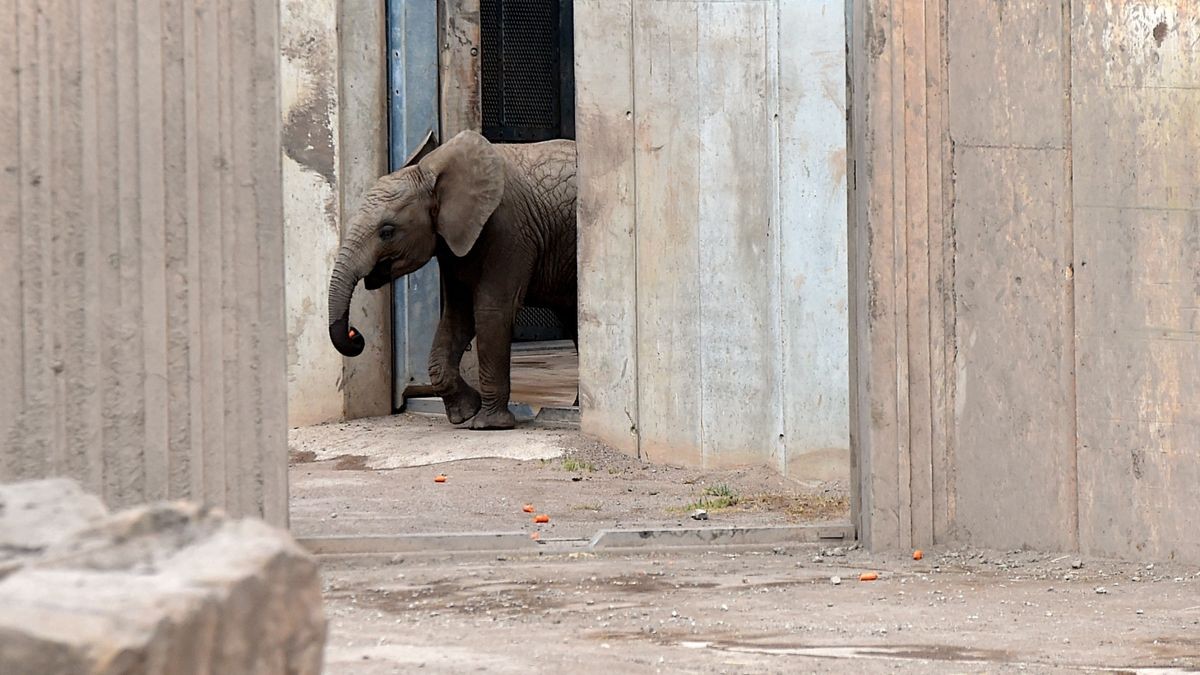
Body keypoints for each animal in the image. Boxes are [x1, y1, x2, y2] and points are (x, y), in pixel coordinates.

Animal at [326, 128, 573, 427]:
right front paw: (464, 414)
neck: (430, 173)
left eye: (387, 231)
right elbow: (458, 316)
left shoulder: (509, 230)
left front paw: (488, 425)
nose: (356, 335)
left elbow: (491, 311)